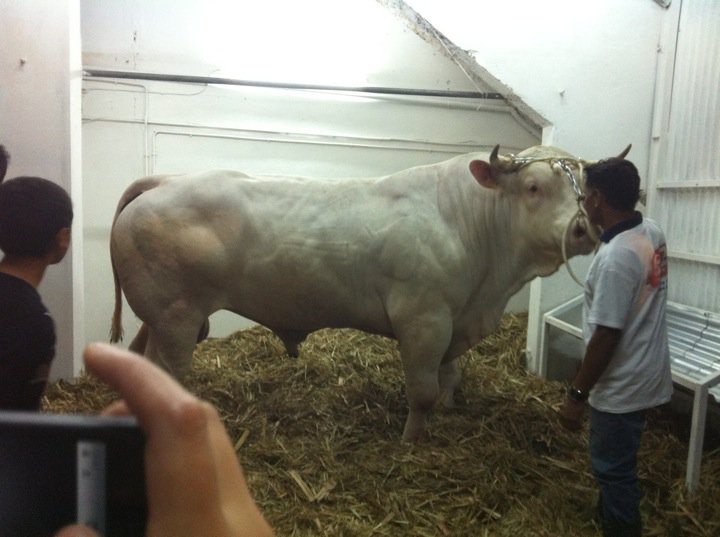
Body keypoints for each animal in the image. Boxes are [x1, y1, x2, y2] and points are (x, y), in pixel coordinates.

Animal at [108, 143, 624, 440]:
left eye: (583, 189)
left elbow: (451, 377)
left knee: (143, 360)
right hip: (177, 317)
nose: (582, 229)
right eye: (534, 186)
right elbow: (423, 391)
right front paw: (412, 443)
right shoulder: (424, 321)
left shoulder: (455, 321)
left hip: (161, 318)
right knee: (168, 372)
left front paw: (448, 413)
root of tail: (165, 180)